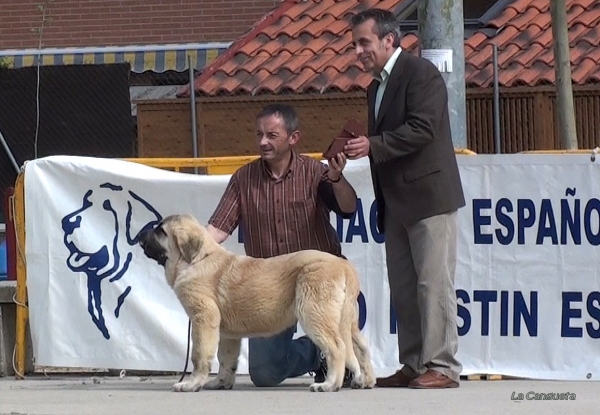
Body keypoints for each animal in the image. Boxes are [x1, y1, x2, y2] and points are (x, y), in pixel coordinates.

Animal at [139, 214, 376, 394]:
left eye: (161, 231)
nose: (140, 237)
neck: (197, 259)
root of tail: (344, 266)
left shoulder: (203, 319)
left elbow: (199, 355)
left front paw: (191, 384)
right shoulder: (227, 334)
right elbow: (225, 358)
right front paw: (221, 382)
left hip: (314, 312)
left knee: (337, 347)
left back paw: (329, 385)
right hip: (345, 318)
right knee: (360, 346)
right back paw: (365, 380)